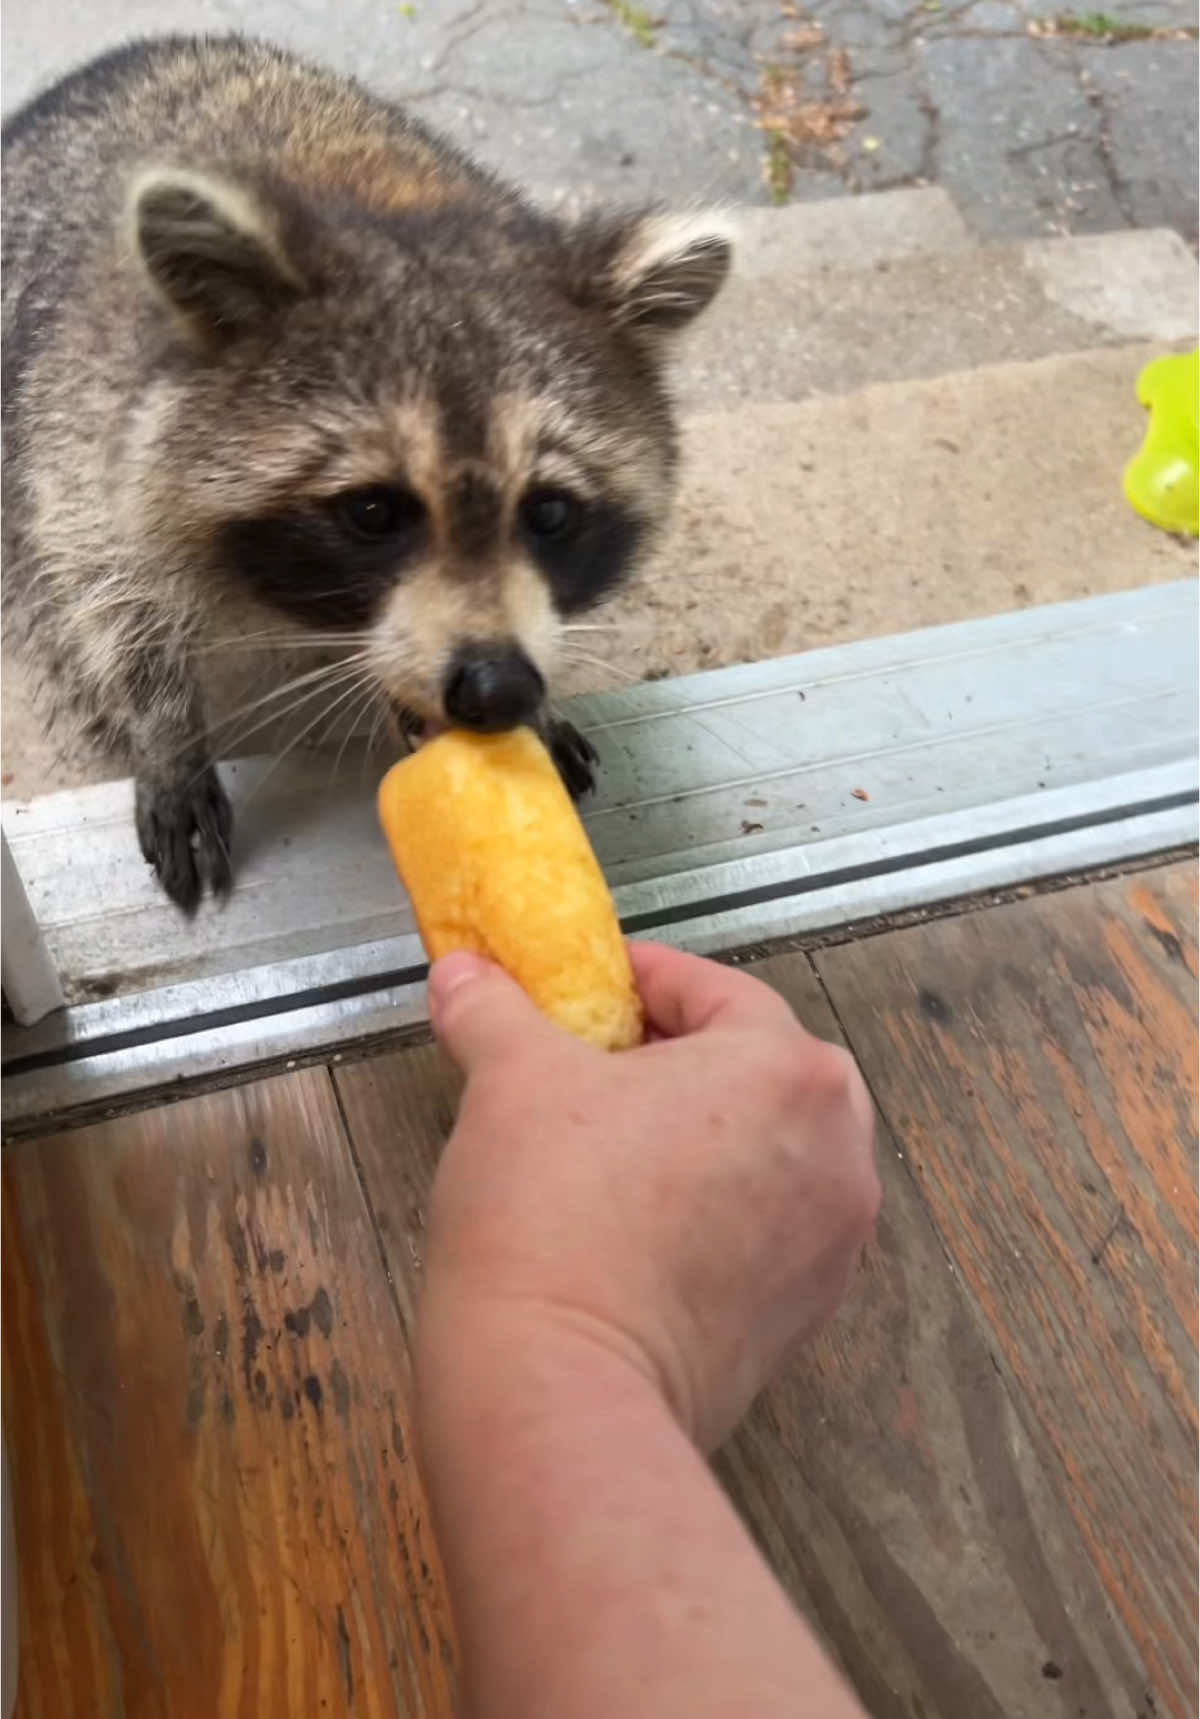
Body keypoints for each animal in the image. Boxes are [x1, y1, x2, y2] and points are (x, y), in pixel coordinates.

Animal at [2, 33, 728, 914]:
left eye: (551, 512)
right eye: (374, 512)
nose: (498, 688)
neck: (386, 194)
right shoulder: (87, 415)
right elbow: (110, 584)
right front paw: (165, 730)